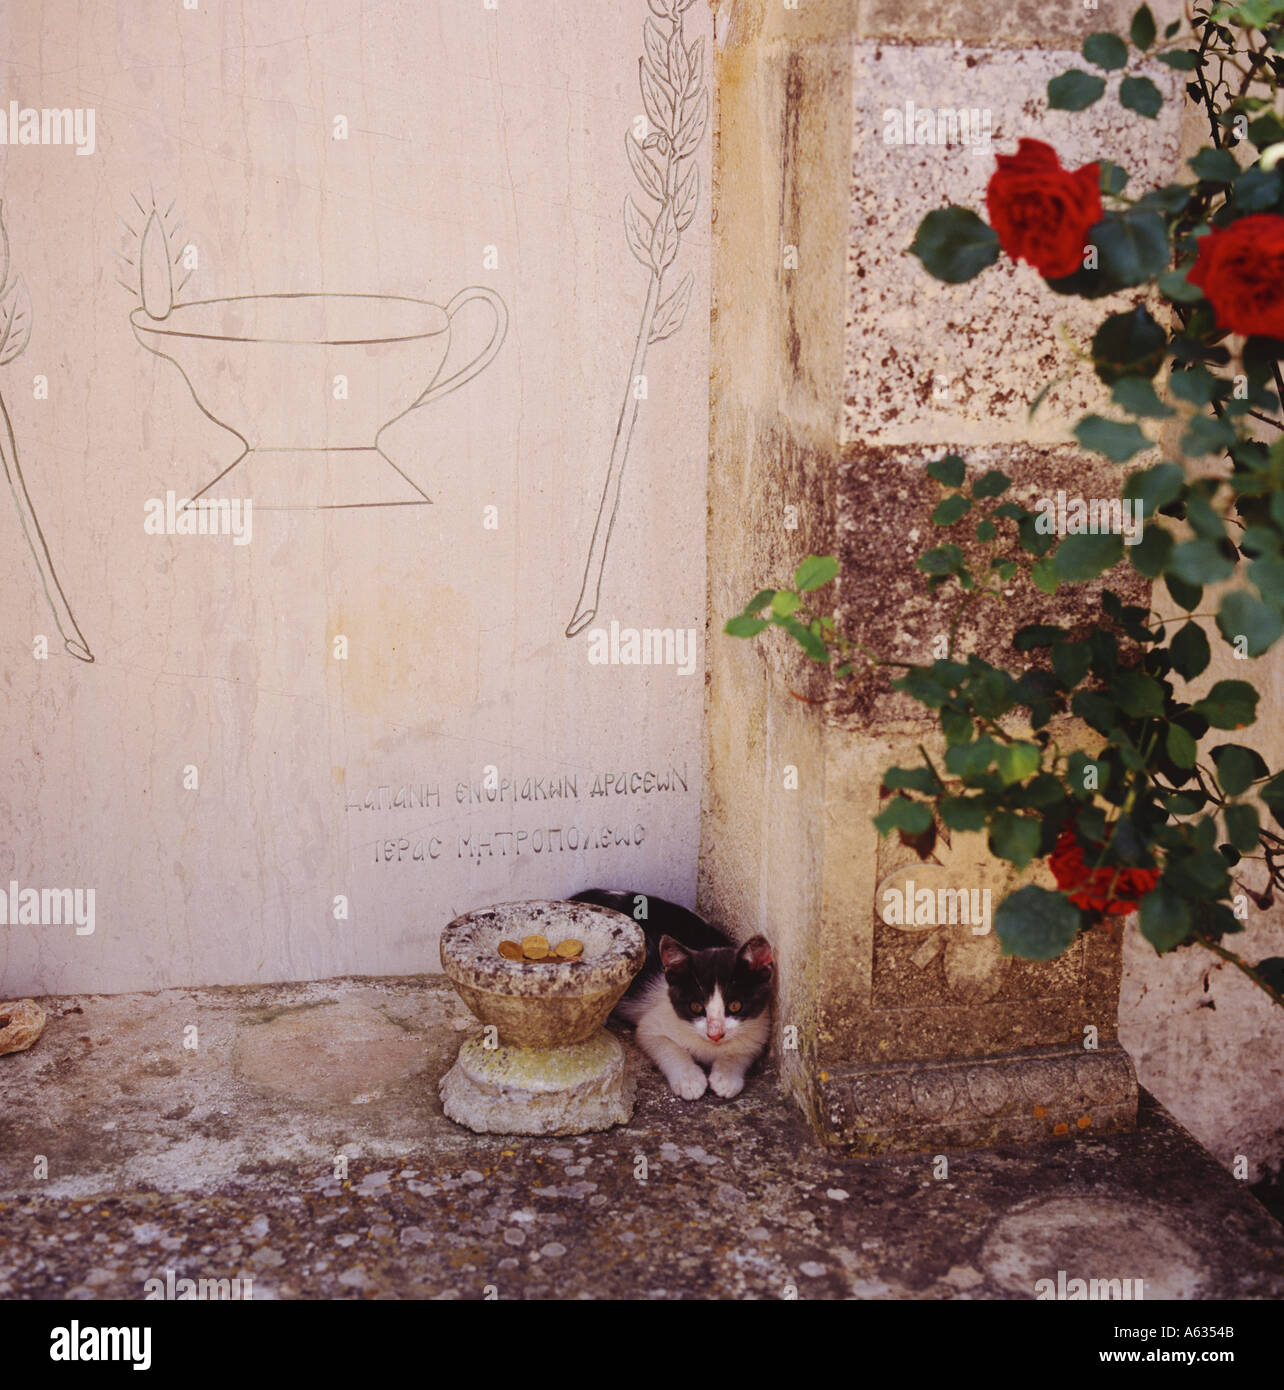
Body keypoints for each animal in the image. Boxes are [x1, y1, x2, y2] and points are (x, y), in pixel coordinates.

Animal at [572, 889, 772, 1095]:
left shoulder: (760, 1029)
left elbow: (742, 1052)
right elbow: (668, 1048)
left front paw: (726, 1077)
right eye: (696, 1007)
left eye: (735, 1005)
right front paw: (689, 1080)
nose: (715, 1034)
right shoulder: (651, 1027)